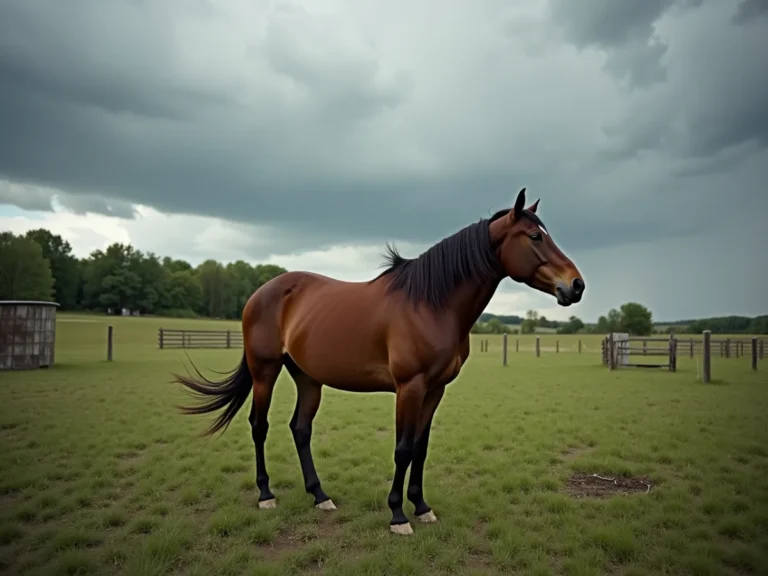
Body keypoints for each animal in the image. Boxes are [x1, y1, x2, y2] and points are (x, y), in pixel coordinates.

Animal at [173, 187, 585, 535]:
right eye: (535, 237)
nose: (576, 285)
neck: (431, 304)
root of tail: (261, 293)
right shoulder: (410, 387)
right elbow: (402, 449)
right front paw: (398, 516)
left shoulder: (435, 390)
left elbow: (420, 447)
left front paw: (422, 507)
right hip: (265, 371)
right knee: (259, 426)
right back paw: (266, 495)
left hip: (307, 377)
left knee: (300, 429)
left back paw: (320, 496)